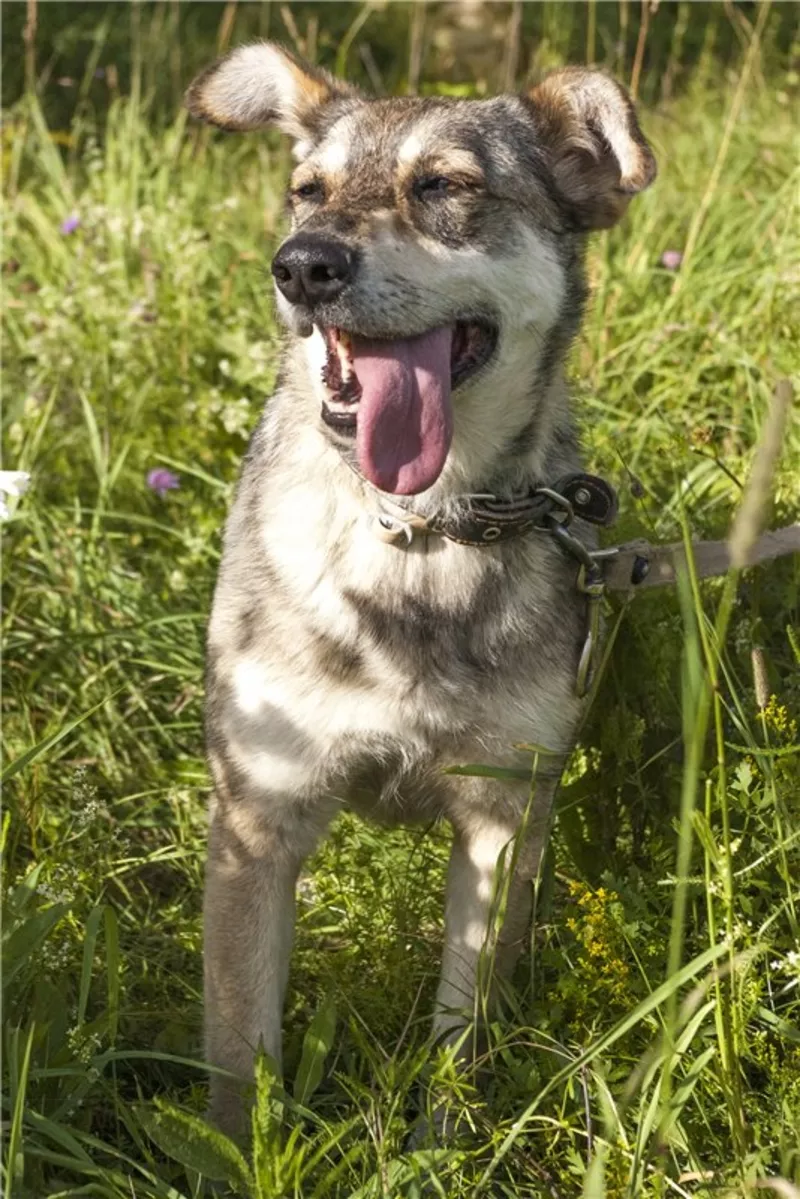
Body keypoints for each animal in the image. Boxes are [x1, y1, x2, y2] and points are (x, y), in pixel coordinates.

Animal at [188, 42, 657, 1136]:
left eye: (443, 186)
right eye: (305, 192)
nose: (303, 265)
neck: (422, 533)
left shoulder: (502, 815)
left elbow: (462, 1021)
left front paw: (447, 1140)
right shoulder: (257, 818)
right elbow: (241, 1053)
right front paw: (237, 1152)